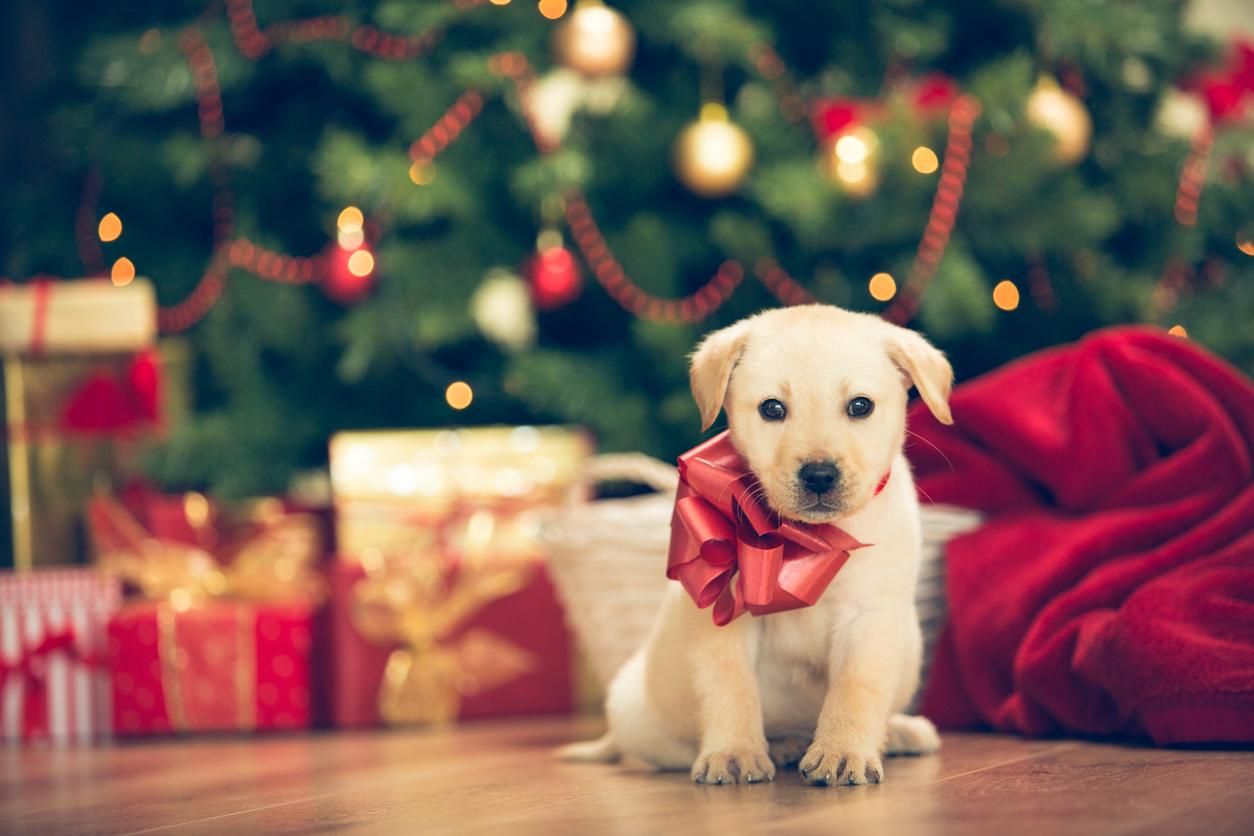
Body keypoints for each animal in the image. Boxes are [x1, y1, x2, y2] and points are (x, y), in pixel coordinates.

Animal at [566, 304, 948, 787]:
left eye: (860, 406)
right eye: (772, 408)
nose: (819, 476)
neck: (807, 538)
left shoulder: (870, 617)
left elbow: (856, 689)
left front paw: (843, 750)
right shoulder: (723, 616)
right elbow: (731, 687)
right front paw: (734, 752)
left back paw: (898, 732)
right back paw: (781, 744)